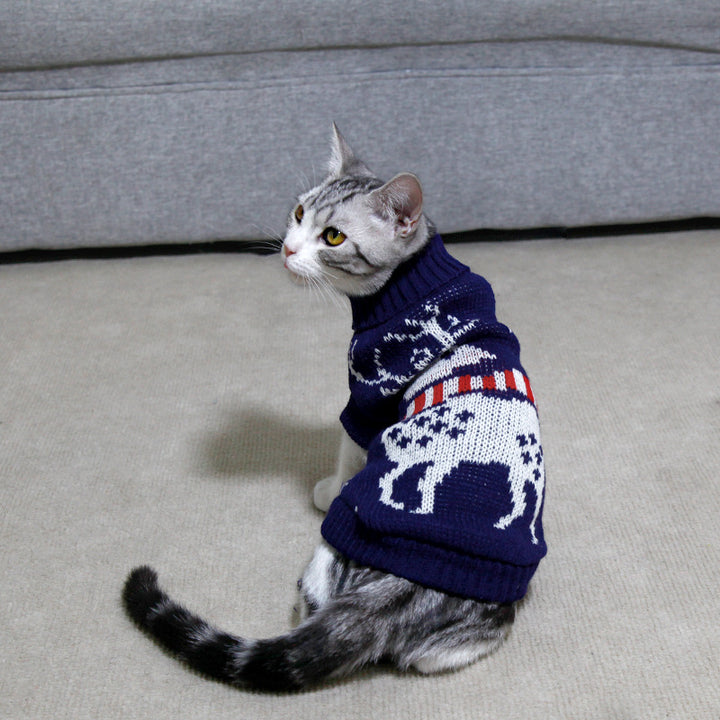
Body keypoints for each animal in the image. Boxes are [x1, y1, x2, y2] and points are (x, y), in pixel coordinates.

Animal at [122, 124, 544, 692]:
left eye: (335, 238)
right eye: (300, 213)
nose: (287, 248)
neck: (413, 285)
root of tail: (390, 595)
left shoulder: (366, 397)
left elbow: (348, 448)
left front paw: (327, 488)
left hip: (327, 558)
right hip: (479, 623)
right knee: (434, 655)